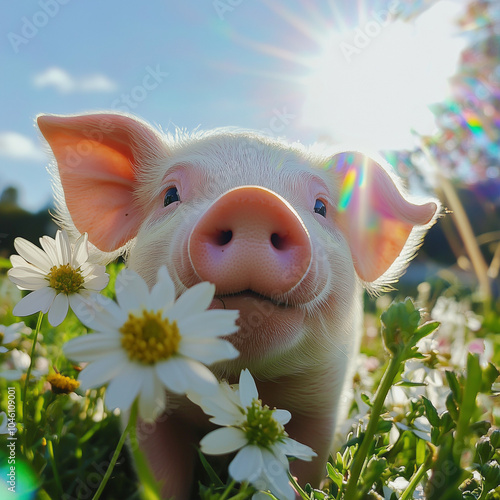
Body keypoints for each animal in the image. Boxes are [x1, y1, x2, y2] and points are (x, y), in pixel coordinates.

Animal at [37, 111, 440, 498]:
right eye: (170, 195)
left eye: (322, 207)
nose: (253, 201)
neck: (237, 378)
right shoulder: (146, 406)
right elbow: (161, 474)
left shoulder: (323, 405)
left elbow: (306, 469)